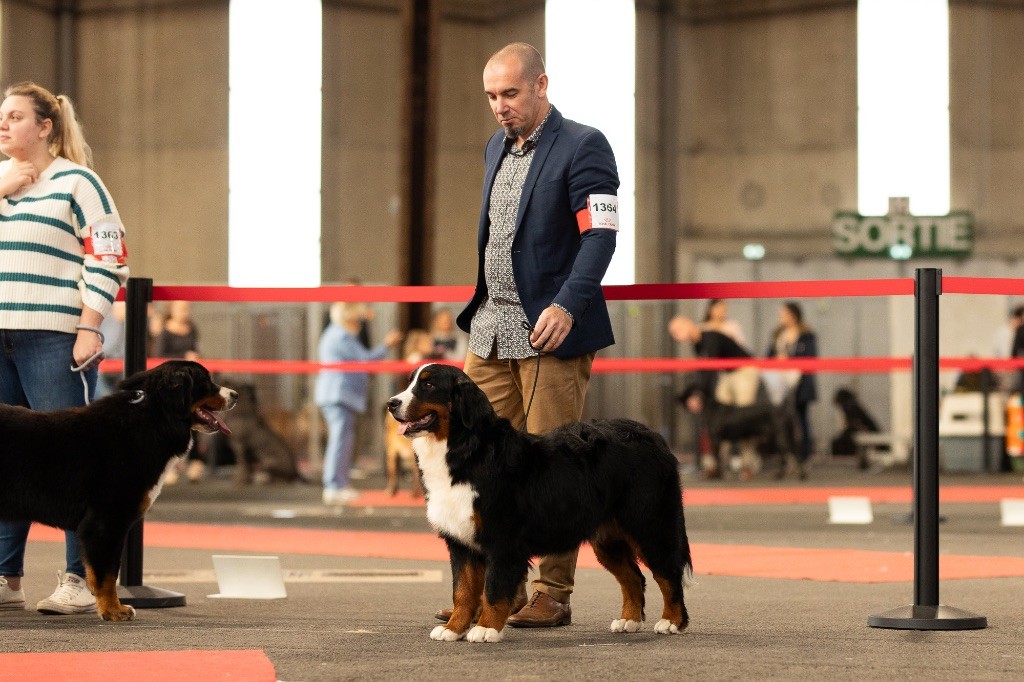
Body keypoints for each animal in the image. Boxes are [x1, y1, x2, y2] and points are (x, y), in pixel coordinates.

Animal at [1, 358, 235, 618]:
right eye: (205, 381)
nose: (235, 395)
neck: (154, 417)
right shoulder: (106, 521)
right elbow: (107, 574)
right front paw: (114, 610)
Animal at [387, 364, 692, 638]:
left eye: (428, 385)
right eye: (410, 382)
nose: (391, 403)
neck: (465, 450)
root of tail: (653, 436)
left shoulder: (502, 540)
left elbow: (493, 590)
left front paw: (486, 629)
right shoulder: (460, 541)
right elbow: (462, 591)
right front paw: (454, 629)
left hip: (650, 525)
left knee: (669, 574)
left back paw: (672, 622)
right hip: (608, 538)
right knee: (633, 577)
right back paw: (629, 620)